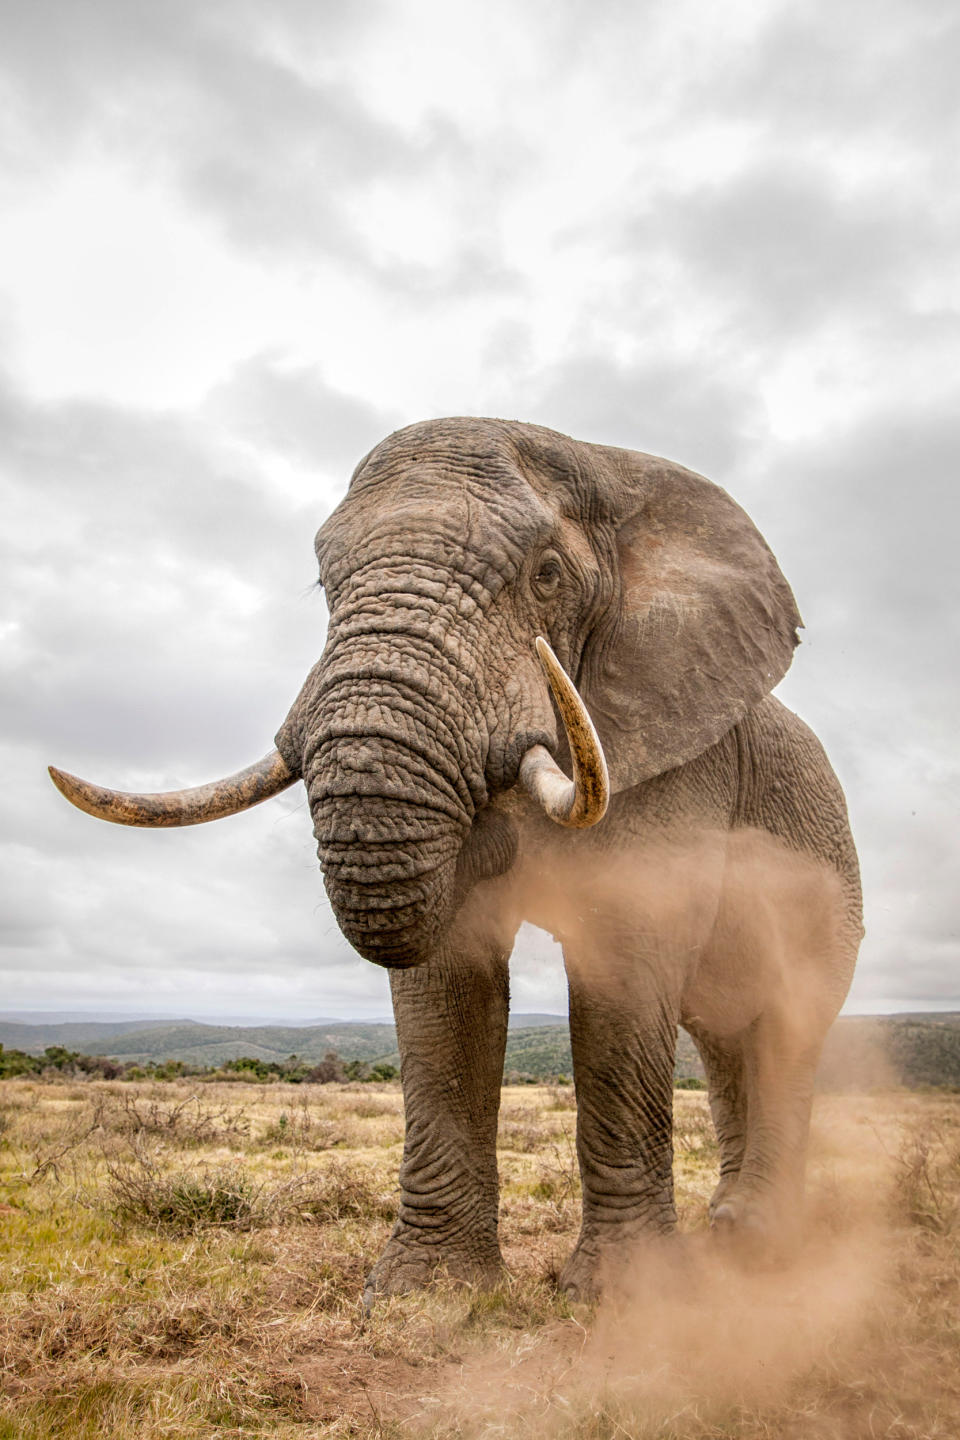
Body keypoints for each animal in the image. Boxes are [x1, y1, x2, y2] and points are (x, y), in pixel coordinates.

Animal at [50, 417, 863, 1307]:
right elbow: (448, 980)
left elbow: (623, 961)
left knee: (786, 1028)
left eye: (547, 576)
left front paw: (625, 1298)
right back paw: (727, 1231)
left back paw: (759, 1243)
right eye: (323, 582)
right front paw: (425, 1296)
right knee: (724, 1039)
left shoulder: (679, 751)